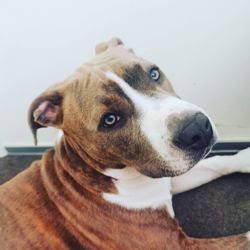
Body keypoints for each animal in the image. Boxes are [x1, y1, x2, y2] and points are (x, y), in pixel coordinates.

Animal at [0, 37, 250, 250]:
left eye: (154, 73)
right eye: (110, 120)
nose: (196, 128)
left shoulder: (166, 178)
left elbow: (217, 162)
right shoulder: (174, 243)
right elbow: (245, 237)